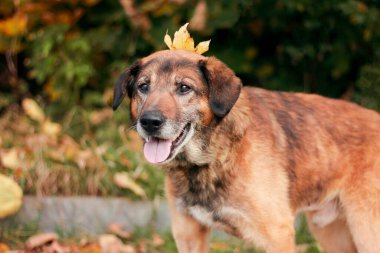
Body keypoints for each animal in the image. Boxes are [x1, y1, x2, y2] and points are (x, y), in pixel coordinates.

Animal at [114, 50, 380, 253]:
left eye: (184, 88)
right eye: (143, 87)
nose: (149, 122)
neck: (212, 160)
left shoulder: (278, 236)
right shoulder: (188, 234)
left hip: (366, 232)